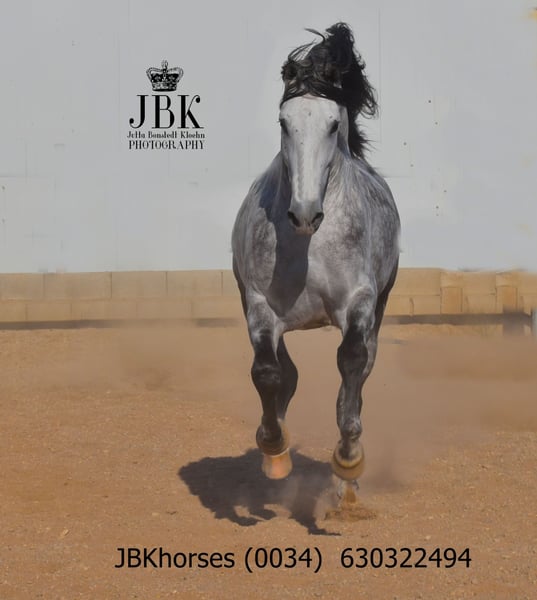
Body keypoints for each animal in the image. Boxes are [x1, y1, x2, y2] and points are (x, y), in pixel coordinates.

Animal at [231, 23, 400, 497]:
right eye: (284, 122)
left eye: (332, 124)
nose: (305, 213)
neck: (309, 246)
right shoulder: (259, 306)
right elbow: (269, 374)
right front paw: (273, 449)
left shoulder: (359, 302)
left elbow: (352, 364)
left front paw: (348, 460)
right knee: (285, 373)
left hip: (381, 303)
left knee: (363, 369)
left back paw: (347, 486)